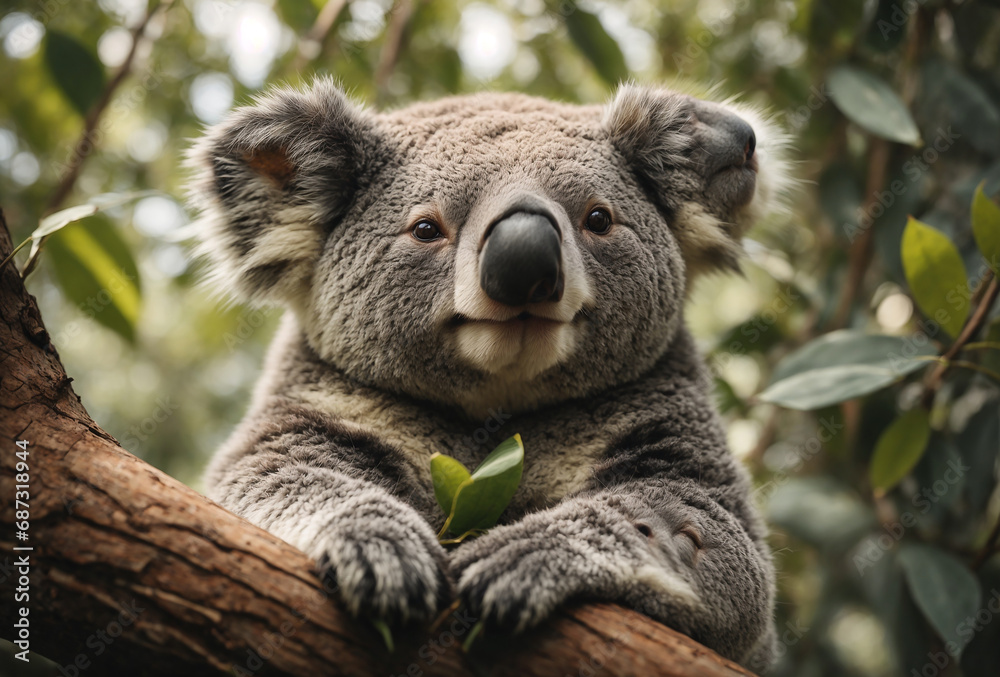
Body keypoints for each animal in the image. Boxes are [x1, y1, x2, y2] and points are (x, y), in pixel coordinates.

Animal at [187, 78, 790, 670]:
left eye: (598, 219)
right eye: (425, 229)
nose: (524, 265)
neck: (498, 405)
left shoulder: (667, 421)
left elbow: (712, 540)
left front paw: (523, 555)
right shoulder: (323, 401)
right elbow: (278, 475)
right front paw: (382, 552)